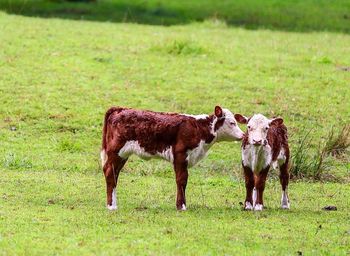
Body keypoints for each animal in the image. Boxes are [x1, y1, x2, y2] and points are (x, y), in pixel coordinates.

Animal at [100, 105, 243, 210]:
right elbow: (182, 179)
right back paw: (111, 206)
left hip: (122, 155)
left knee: (114, 174)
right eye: (232, 123)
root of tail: (120, 109)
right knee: (109, 172)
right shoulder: (180, 154)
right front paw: (182, 206)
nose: (242, 135)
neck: (199, 128)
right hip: (116, 151)